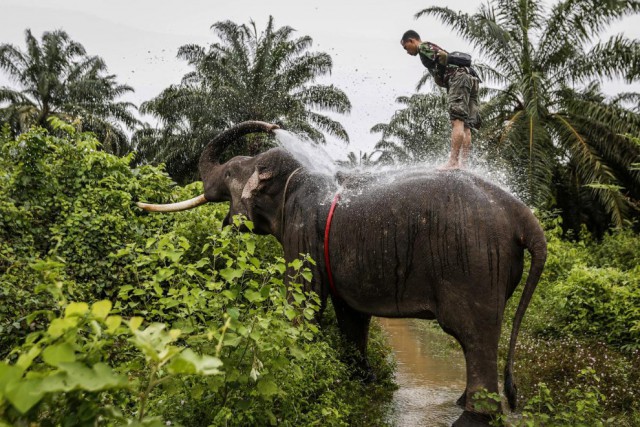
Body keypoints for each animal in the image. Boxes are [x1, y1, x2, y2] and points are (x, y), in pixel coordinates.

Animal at [138, 121, 548, 427]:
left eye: (229, 172)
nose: (274, 124)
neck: (295, 173)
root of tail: (523, 215)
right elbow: (350, 314)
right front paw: (362, 381)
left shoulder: (302, 228)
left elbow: (305, 299)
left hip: (472, 266)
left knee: (474, 334)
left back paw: (473, 413)